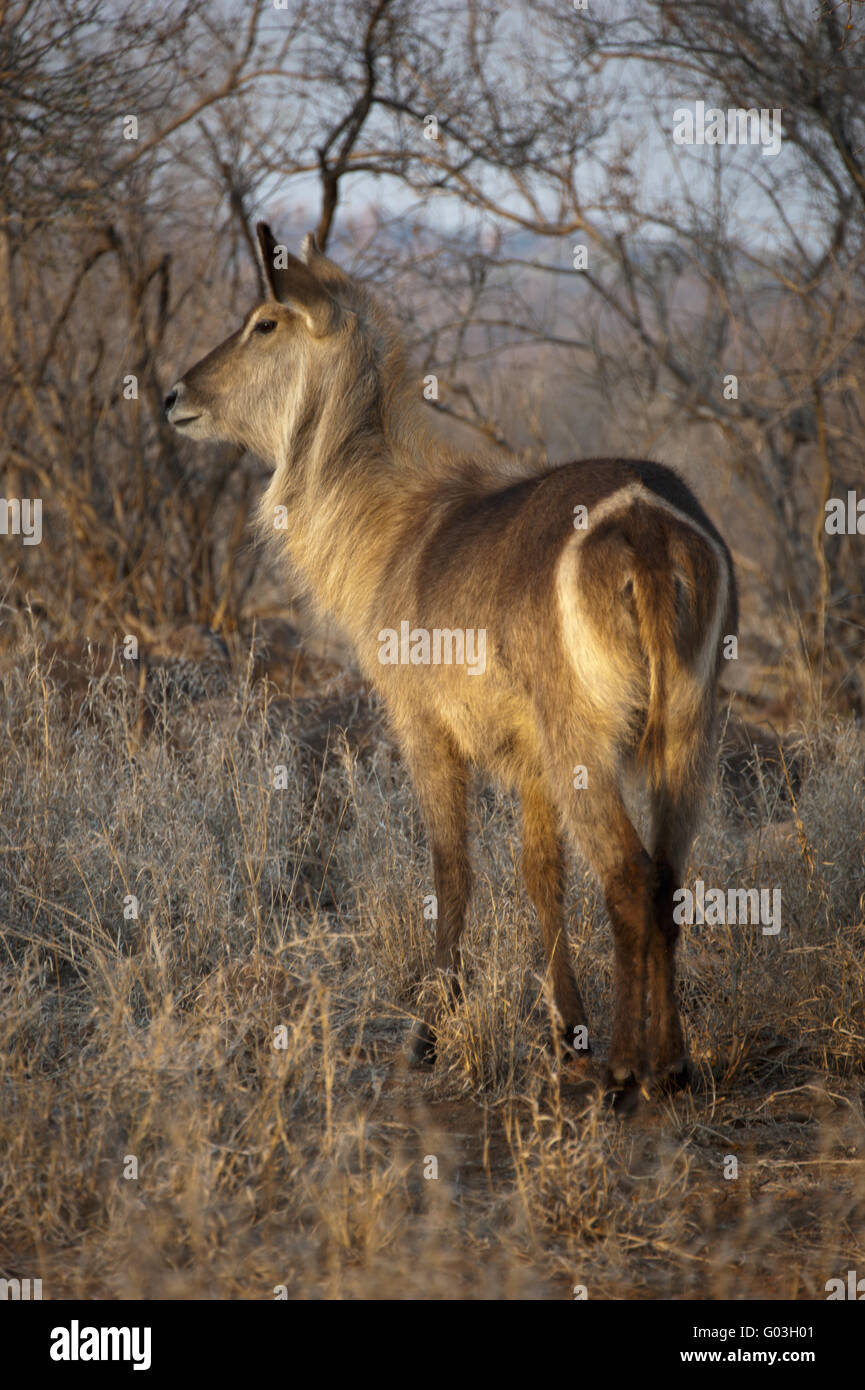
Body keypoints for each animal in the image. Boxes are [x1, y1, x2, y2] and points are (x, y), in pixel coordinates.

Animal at [167, 227, 739, 1117]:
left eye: (264, 322)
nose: (172, 394)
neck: (392, 525)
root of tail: (648, 525)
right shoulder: (527, 755)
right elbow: (540, 876)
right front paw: (564, 1031)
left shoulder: (421, 722)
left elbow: (453, 870)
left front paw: (426, 1034)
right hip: (689, 724)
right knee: (668, 881)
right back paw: (671, 1067)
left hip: (585, 738)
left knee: (627, 879)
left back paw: (625, 1074)